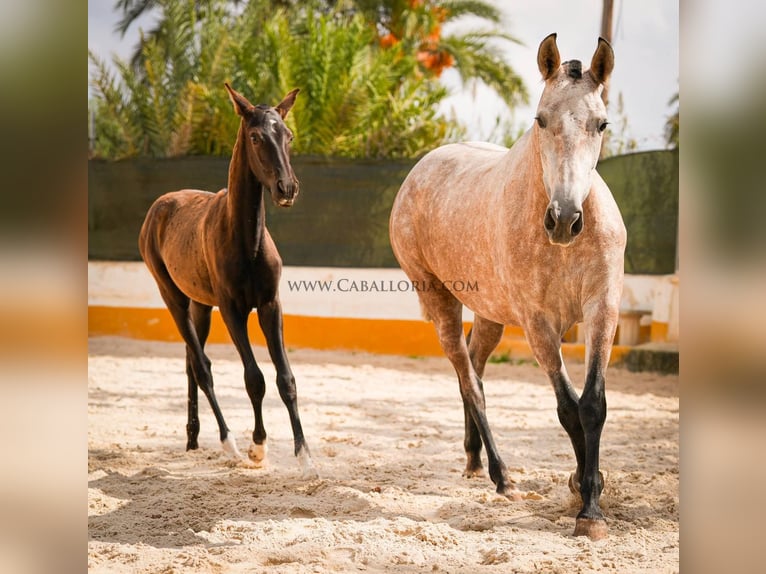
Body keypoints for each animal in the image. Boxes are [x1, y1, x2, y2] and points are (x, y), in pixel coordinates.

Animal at [140, 83, 316, 480]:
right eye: (255, 136)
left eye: (288, 135)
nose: (287, 188)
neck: (246, 240)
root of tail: (159, 205)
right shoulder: (232, 310)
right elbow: (254, 379)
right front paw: (257, 447)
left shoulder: (269, 305)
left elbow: (286, 379)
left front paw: (305, 457)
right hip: (173, 297)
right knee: (202, 367)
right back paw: (228, 443)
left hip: (200, 305)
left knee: (191, 362)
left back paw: (193, 439)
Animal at [392, 35, 628, 540]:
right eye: (541, 120)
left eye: (601, 124)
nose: (565, 219)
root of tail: (422, 168)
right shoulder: (538, 325)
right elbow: (568, 408)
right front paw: (584, 498)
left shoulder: (603, 309)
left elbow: (593, 405)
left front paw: (591, 497)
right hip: (439, 300)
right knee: (469, 379)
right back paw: (502, 477)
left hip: (489, 313)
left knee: (474, 366)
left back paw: (473, 459)